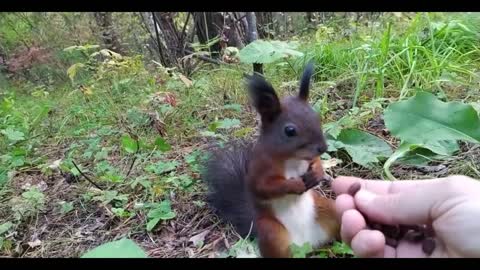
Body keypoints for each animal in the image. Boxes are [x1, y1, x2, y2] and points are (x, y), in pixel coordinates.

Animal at [202, 62, 342, 258]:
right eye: (290, 131)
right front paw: (294, 184)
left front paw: (316, 173)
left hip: (329, 209)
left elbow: (316, 162)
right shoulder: (260, 168)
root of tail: (307, 244)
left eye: (317, 117)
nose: (323, 147)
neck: (293, 159)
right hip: (271, 232)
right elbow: (265, 186)